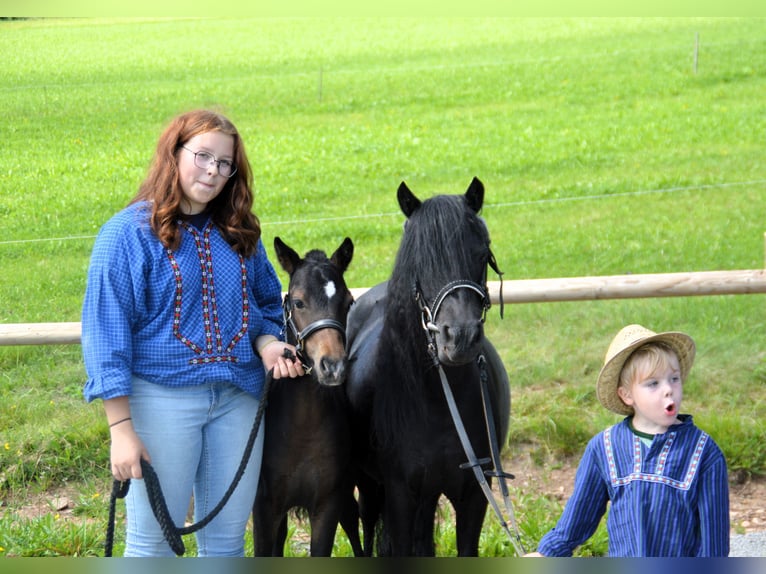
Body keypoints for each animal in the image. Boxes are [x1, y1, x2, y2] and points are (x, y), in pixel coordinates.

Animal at [249, 237, 364, 560]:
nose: (333, 367)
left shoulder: (327, 506)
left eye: (348, 302)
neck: (301, 430)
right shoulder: (264, 508)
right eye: (298, 302)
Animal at [348, 179, 510, 560]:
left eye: (482, 254)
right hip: (371, 487)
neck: (437, 401)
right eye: (419, 261)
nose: (460, 337)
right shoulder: (400, 495)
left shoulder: (474, 494)